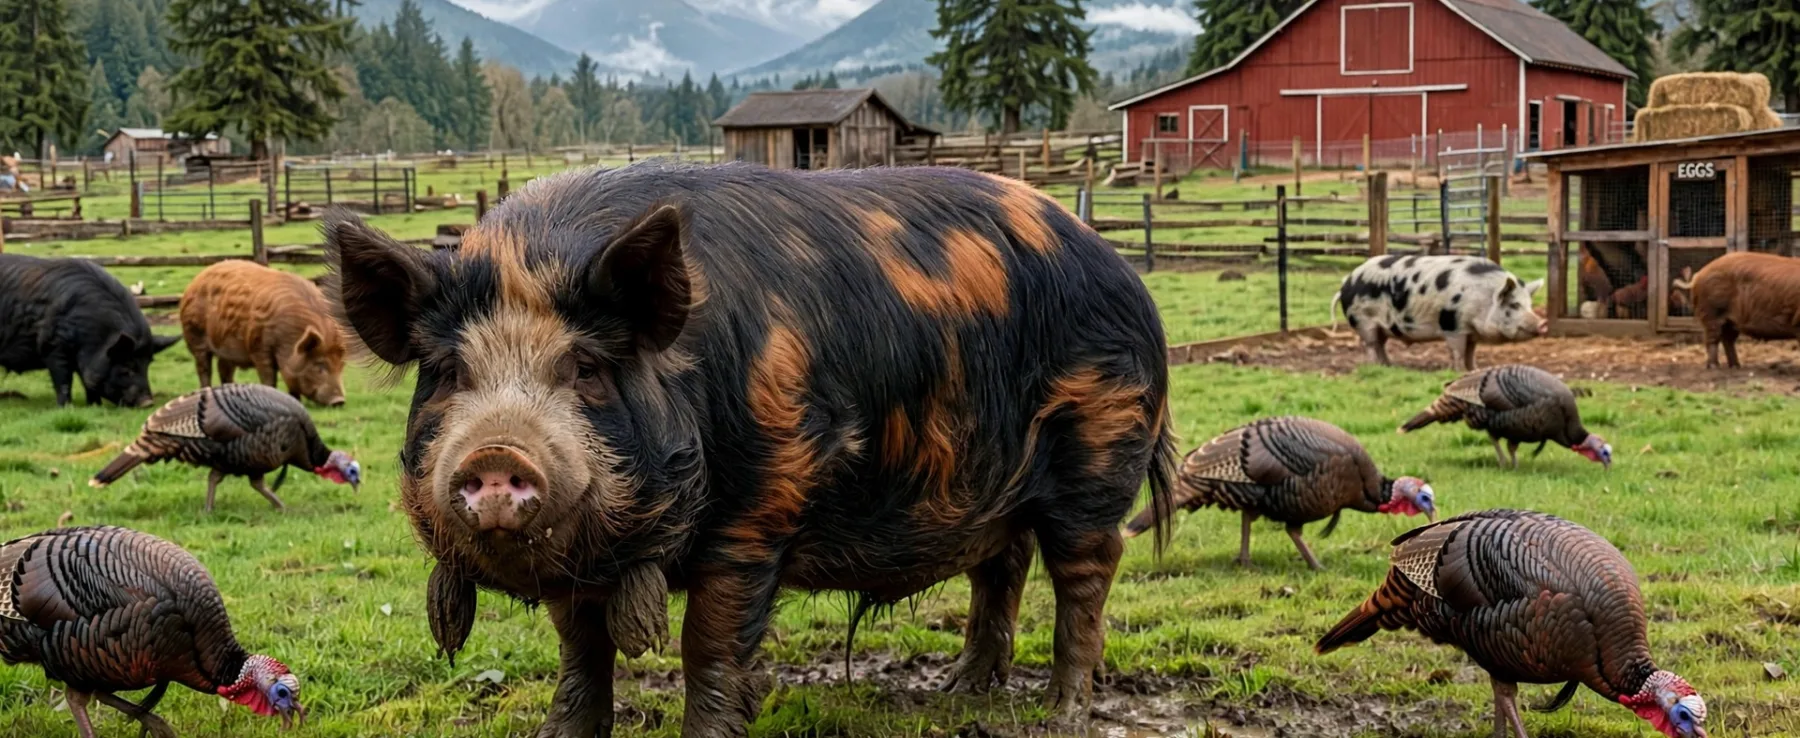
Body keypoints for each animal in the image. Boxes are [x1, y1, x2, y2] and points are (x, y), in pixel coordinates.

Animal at [0, 254, 179, 406]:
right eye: (126, 367)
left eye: (147, 364)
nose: (148, 403)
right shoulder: (54, 347)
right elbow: (64, 381)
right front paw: (66, 407)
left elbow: (85, 381)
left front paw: (94, 405)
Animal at [179, 260, 348, 406]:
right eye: (319, 365)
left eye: (341, 366)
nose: (339, 401)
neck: (289, 338)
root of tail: (195, 281)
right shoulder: (259, 348)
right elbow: (269, 377)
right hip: (194, 335)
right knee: (203, 368)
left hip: (225, 348)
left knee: (224, 369)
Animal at [324, 161, 1180, 738]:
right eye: (447, 372)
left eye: (587, 368)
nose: (497, 455)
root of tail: (1123, 271)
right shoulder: (577, 555)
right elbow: (580, 653)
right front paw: (560, 734)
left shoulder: (762, 504)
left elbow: (708, 646)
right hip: (995, 482)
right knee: (1001, 566)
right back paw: (961, 694)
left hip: (1100, 444)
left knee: (1086, 573)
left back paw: (1060, 711)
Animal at [1332, 254, 1545, 370]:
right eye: (1514, 305)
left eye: (1529, 305)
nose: (1542, 323)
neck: (1480, 299)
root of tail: (1346, 282)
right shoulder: (1452, 325)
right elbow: (1457, 351)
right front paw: (1458, 371)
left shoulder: (1471, 332)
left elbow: (1471, 352)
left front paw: (1474, 369)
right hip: (1363, 321)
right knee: (1370, 344)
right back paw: (1375, 366)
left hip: (1380, 327)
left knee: (1380, 345)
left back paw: (1389, 365)